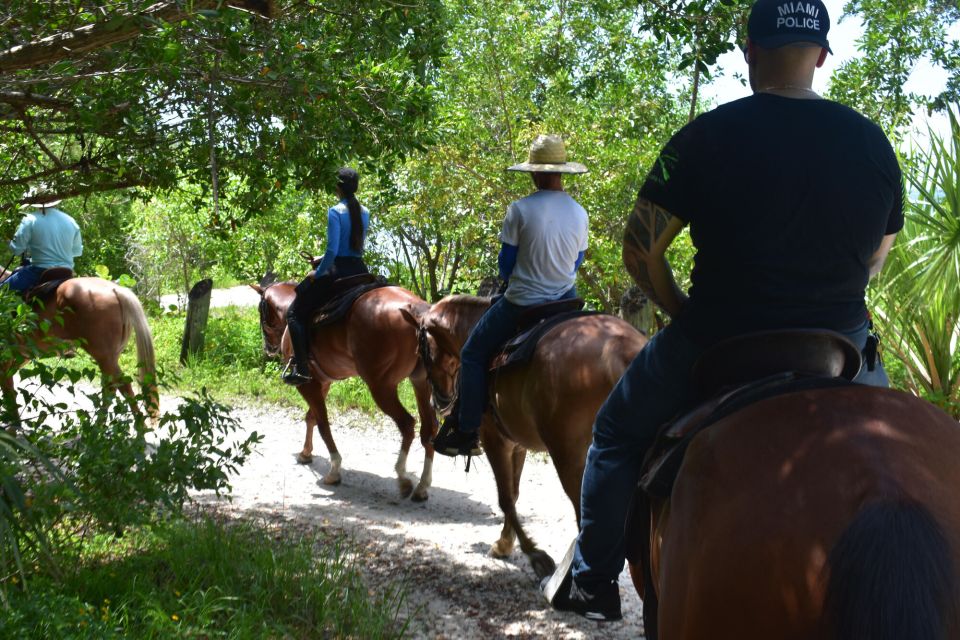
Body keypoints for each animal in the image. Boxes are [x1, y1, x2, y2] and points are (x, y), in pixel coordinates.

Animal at [0, 268, 158, 418]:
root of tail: (116, 290)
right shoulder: (18, 358)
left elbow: (8, 392)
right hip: (111, 358)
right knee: (111, 387)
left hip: (104, 357)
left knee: (122, 386)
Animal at [249, 282, 440, 502]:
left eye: (261, 311)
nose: (268, 348)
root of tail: (417, 312)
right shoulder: (322, 383)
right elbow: (311, 418)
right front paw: (306, 453)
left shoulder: (306, 385)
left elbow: (323, 425)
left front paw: (334, 470)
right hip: (420, 382)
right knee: (429, 430)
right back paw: (422, 486)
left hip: (381, 387)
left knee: (407, 424)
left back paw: (402, 478)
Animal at [402, 296, 648, 580]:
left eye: (422, 350)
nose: (438, 401)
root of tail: (618, 349)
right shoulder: (517, 445)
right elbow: (515, 492)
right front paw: (505, 543)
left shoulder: (494, 440)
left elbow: (505, 498)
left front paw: (534, 555)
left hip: (571, 458)